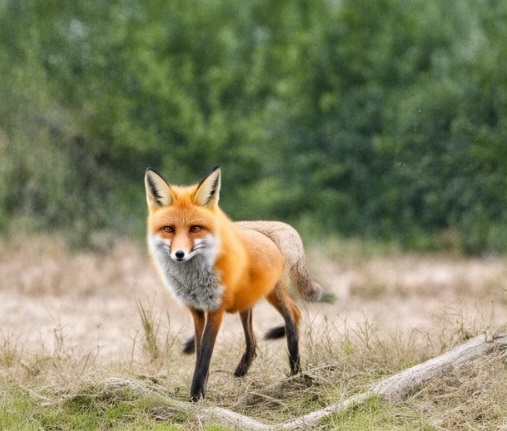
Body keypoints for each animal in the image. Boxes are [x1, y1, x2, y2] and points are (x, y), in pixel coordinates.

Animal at [145, 166, 324, 402]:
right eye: (169, 229)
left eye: (195, 228)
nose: (179, 254)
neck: (193, 279)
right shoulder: (196, 310)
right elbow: (200, 352)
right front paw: (200, 390)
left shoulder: (216, 308)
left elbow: (205, 354)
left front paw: (196, 396)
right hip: (247, 300)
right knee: (255, 339)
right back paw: (244, 368)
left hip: (271, 292)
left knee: (292, 316)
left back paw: (295, 374)